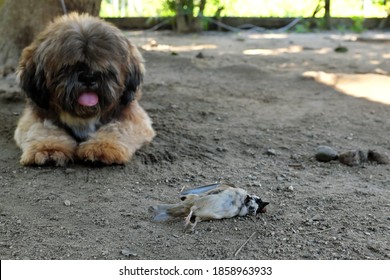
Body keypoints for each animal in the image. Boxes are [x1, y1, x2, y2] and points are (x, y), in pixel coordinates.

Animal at [15, 13, 155, 165]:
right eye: (66, 68)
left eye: (106, 67)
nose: (88, 77)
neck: (82, 115)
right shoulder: (35, 116)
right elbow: (43, 129)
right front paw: (48, 148)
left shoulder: (133, 118)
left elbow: (116, 128)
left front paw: (102, 147)